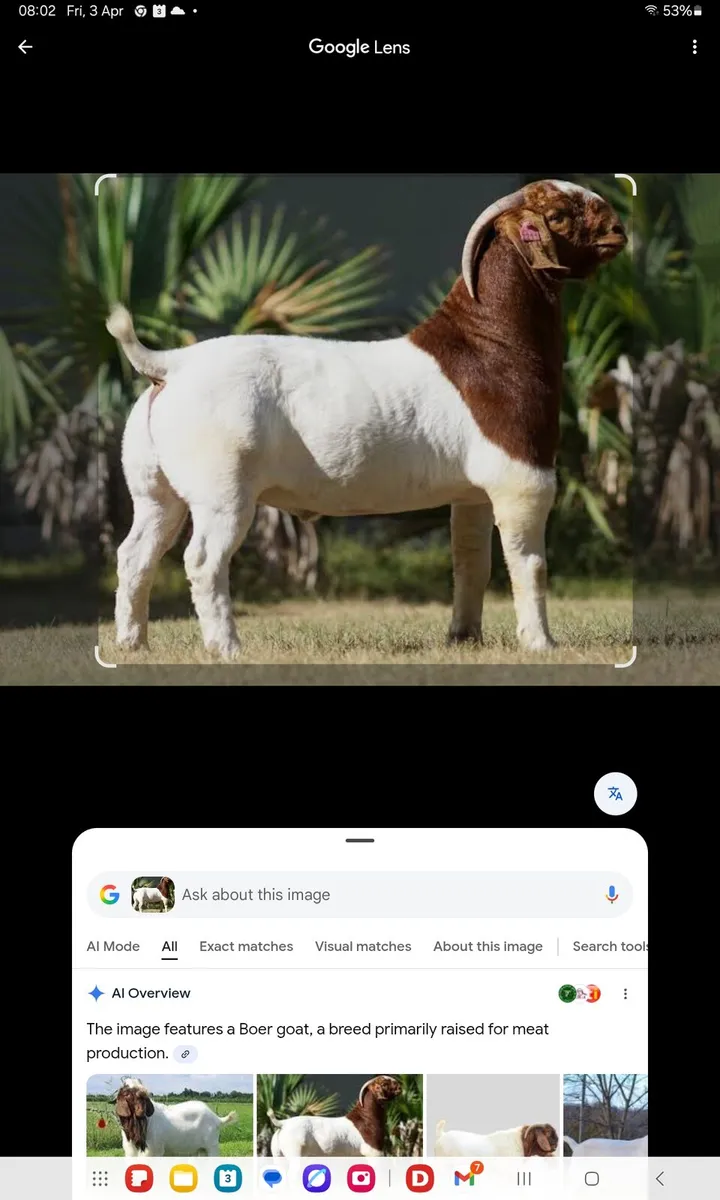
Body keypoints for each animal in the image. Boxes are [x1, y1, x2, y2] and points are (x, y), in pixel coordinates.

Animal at [108, 180, 626, 660]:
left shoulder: (474, 493)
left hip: (154, 490)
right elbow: (529, 563)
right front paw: (541, 643)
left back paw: (132, 644)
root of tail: (171, 365)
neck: (488, 343)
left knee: (135, 555)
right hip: (222, 489)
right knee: (204, 560)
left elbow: (470, 562)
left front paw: (464, 638)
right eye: (558, 215)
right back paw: (227, 647)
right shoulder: (523, 479)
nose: (618, 230)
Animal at [266, 1075, 402, 1157]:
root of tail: (283, 1123)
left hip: (278, 1155)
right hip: (295, 1153)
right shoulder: (373, 1153)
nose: (400, 1087)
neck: (365, 1118)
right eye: (385, 1083)